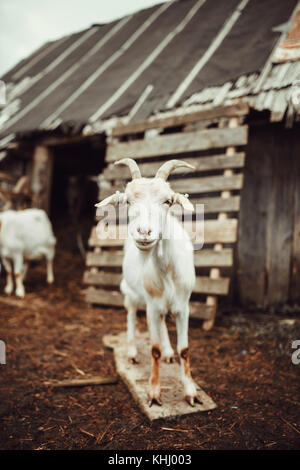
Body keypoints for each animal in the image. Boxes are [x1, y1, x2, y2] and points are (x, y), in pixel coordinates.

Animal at [96, 159, 200, 408]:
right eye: (128, 201)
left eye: (167, 201)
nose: (144, 232)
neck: (167, 269)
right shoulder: (152, 305)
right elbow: (153, 350)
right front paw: (154, 392)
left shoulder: (183, 306)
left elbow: (185, 349)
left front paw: (190, 392)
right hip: (130, 292)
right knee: (131, 315)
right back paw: (133, 351)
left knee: (161, 323)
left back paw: (169, 352)